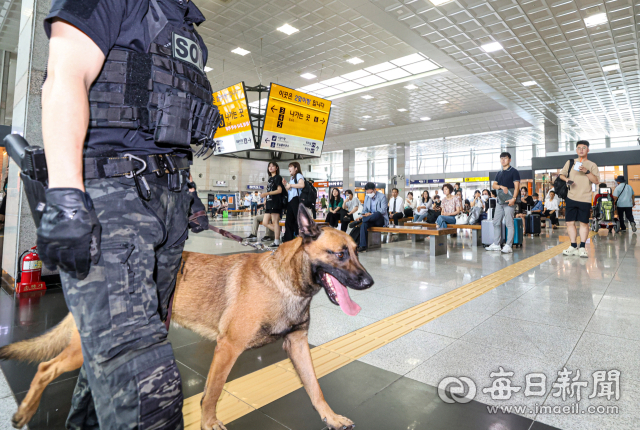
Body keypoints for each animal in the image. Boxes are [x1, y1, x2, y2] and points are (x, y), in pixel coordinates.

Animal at [0, 205, 372, 430]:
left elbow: (315, 387)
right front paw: (209, 423)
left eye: (356, 251)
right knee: (46, 368)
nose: (368, 282)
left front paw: (330, 417)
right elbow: (212, 392)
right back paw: (24, 412)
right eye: (340, 254)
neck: (285, 281)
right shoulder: (227, 348)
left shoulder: (297, 346)